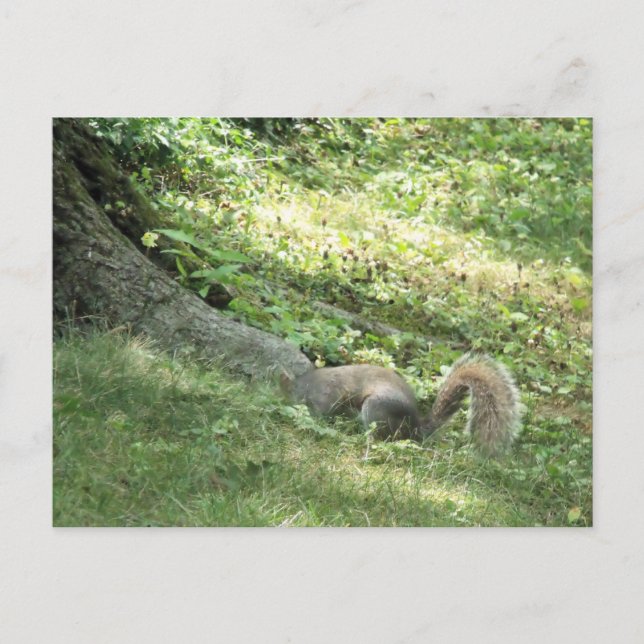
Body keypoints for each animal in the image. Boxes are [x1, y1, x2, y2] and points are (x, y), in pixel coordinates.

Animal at [282, 353, 522, 456]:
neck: (306, 384)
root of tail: (415, 428)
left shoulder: (326, 396)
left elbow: (323, 412)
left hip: (375, 409)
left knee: (380, 437)